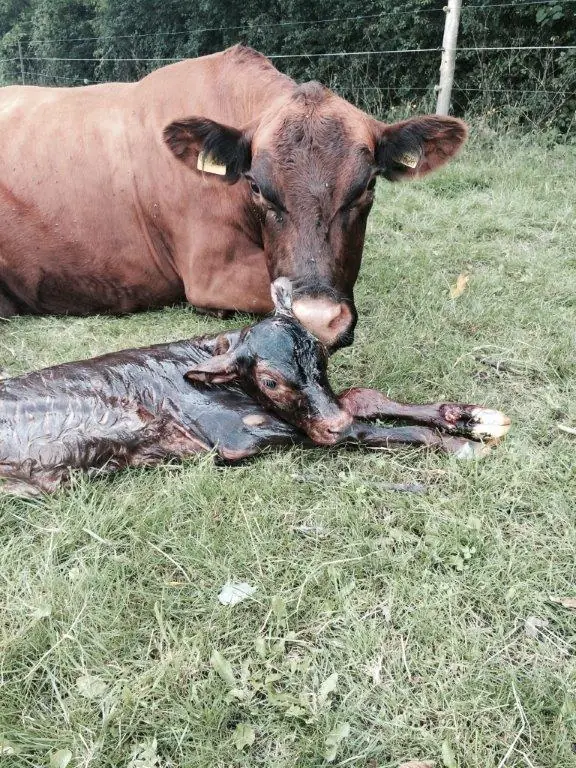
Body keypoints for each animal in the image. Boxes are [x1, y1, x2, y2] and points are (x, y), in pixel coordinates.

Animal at [0, 279, 510, 498]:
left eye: (322, 357)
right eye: (269, 380)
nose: (333, 422)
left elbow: (361, 398)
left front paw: (474, 418)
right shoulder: (235, 435)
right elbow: (361, 429)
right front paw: (459, 444)